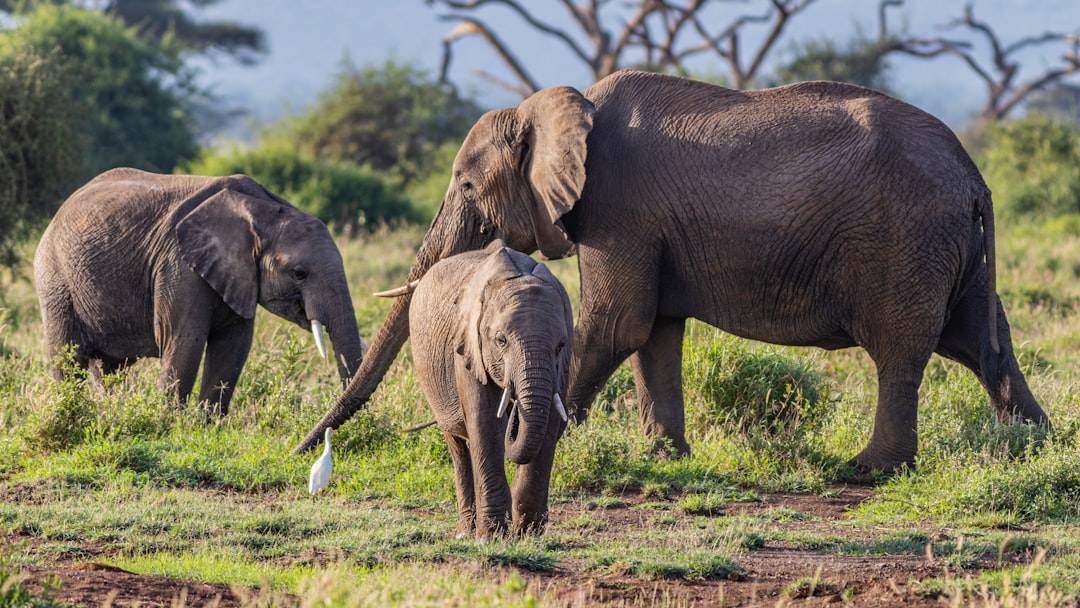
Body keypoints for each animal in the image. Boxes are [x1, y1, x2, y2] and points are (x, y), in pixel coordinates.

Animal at [34, 167, 367, 414]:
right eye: (299, 273)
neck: (265, 210)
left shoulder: (238, 276)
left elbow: (233, 347)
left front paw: (208, 428)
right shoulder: (179, 265)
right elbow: (185, 342)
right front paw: (169, 426)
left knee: (109, 368)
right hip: (55, 280)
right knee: (67, 360)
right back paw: (71, 412)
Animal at [293, 69, 1045, 473]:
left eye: (468, 188)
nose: (306, 448)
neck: (555, 104)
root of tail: (975, 176)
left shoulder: (619, 207)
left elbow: (614, 323)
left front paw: (549, 443)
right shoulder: (649, 226)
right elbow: (653, 331)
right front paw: (664, 459)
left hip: (905, 242)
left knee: (901, 349)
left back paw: (868, 470)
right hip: (950, 248)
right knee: (980, 342)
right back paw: (1033, 446)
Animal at [406, 240, 574, 539]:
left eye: (560, 345)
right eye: (501, 340)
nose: (515, 410)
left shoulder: (562, 365)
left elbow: (551, 421)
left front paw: (528, 532)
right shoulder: (468, 347)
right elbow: (484, 423)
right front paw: (492, 536)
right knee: (458, 445)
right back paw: (466, 532)